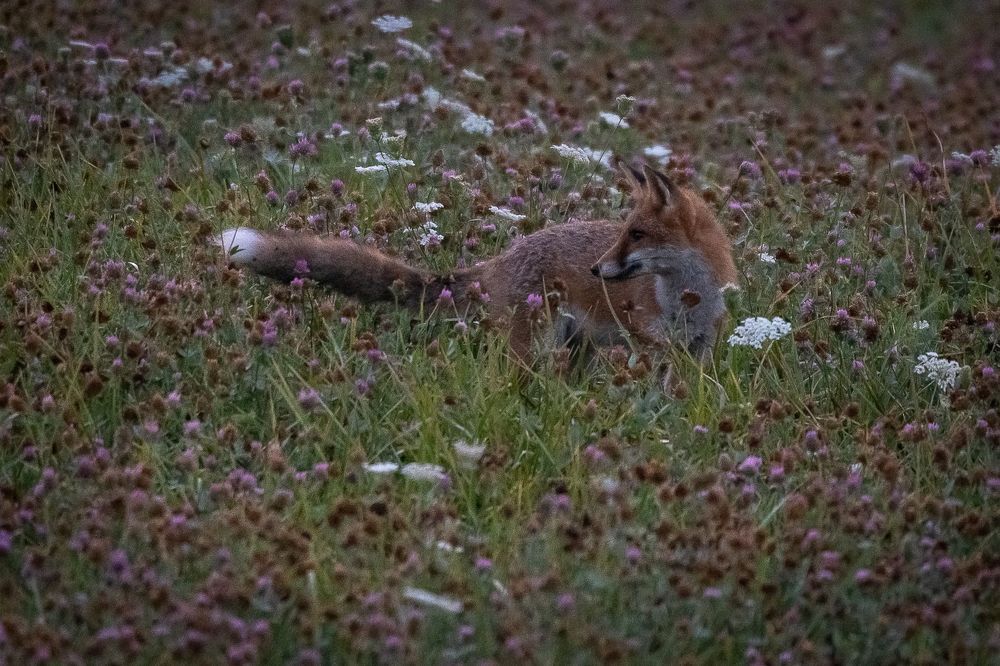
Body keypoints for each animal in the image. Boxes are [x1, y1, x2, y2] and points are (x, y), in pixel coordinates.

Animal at [217, 161, 737, 362]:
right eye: (624, 232)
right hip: (536, 346)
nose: (596, 270)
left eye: (637, 235)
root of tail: (499, 260)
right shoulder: (649, 344)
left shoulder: (699, 349)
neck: (686, 298)